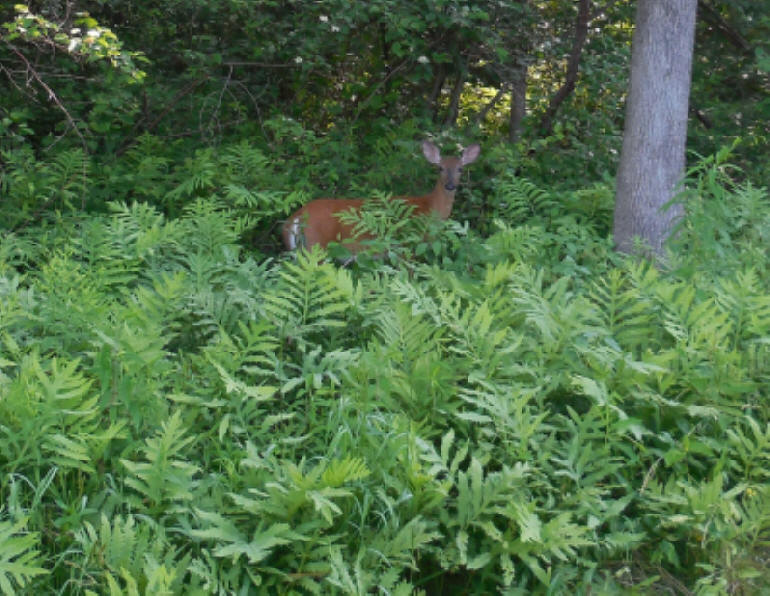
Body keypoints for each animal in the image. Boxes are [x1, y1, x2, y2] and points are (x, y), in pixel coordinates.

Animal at [281, 141, 481, 253]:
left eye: (460, 169)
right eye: (440, 168)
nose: (450, 185)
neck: (430, 208)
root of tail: (298, 215)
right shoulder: (407, 245)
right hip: (317, 244)